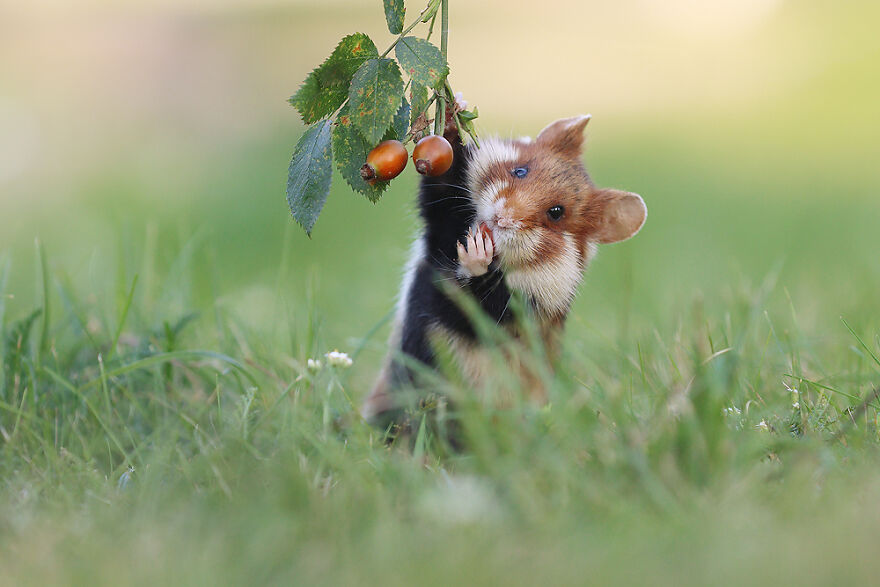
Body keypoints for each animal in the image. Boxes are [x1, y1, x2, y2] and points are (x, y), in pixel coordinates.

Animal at [360, 115, 644, 428]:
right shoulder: (440, 229)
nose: (500, 218)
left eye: (557, 212)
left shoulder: (517, 308)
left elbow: (478, 297)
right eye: (520, 170)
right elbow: (439, 189)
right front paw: (451, 119)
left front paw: (476, 254)